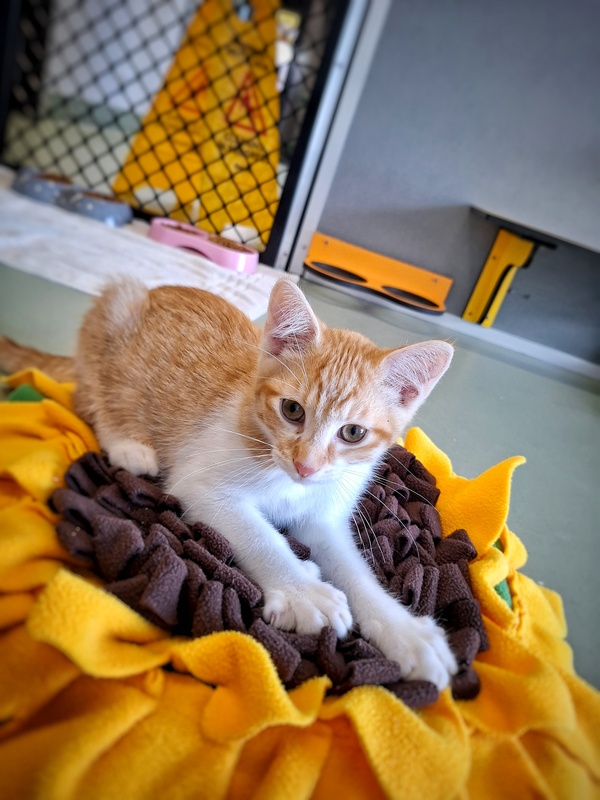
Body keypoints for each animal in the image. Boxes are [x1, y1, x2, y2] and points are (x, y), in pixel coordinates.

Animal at [0, 277, 458, 689]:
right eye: (292, 410)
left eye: (353, 434)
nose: (305, 466)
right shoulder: (199, 481)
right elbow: (258, 534)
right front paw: (303, 592)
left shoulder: (323, 519)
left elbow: (355, 571)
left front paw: (406, 633)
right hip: (114, 314)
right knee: (90, 396)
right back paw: (129, 443)